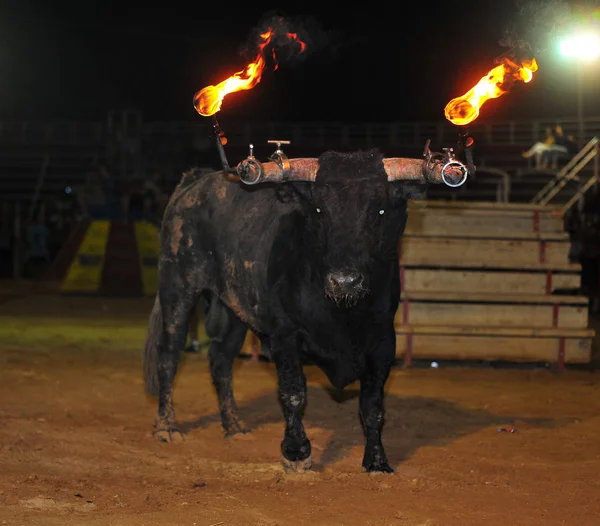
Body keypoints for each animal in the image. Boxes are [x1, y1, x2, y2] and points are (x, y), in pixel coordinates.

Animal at [144, 148, 454, 474]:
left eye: (380, 211)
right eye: (319, 210)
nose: (345, 280)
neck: (343, 314)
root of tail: (196, 180)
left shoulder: (383, 342)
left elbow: (373, 406)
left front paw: (377, 461)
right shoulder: (285, 336)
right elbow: (293, 393)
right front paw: (296, 452)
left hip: (232, 308)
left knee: (220, 359)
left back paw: (234, 426)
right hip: (178, 286)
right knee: (169, 354)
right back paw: (166, 426)